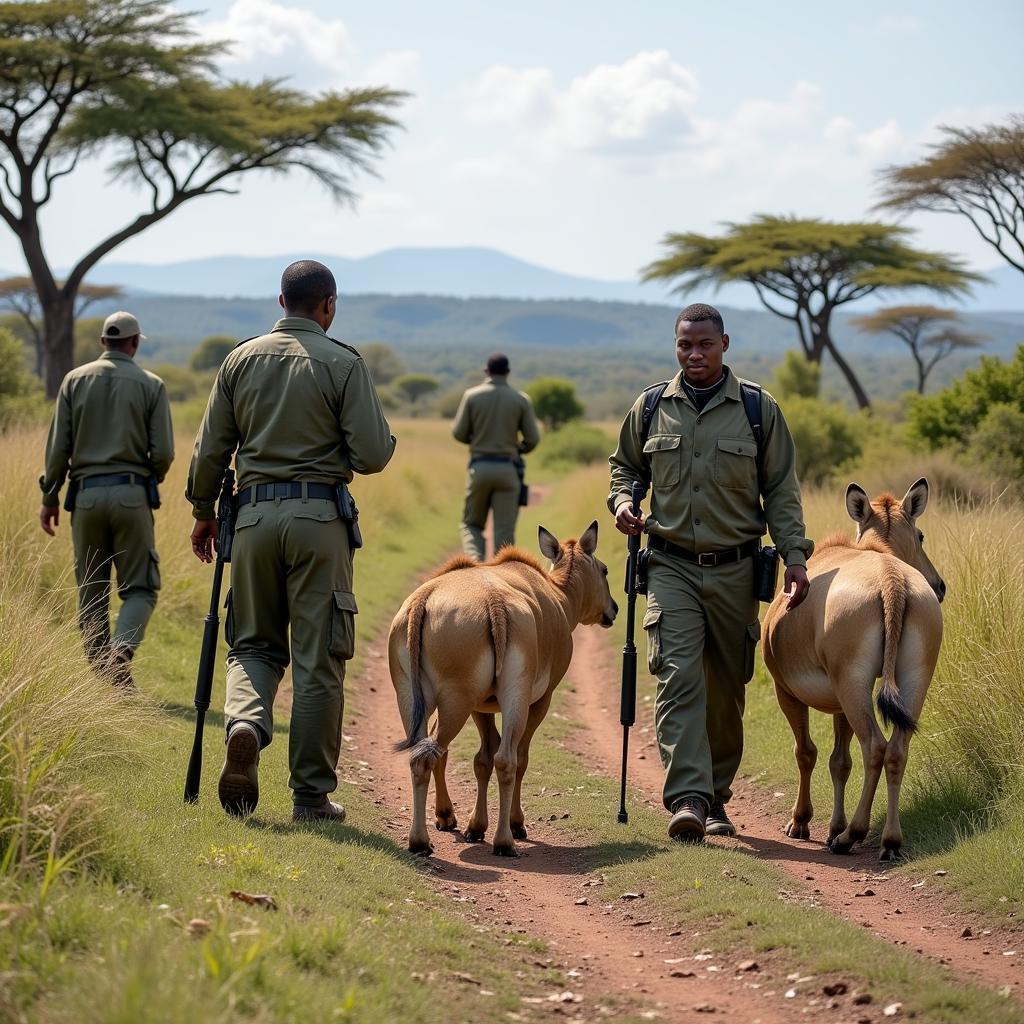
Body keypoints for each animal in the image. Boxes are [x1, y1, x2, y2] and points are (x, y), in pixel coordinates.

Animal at [389, 520, 614, 856]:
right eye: (605, 570)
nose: (612, 609)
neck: (557, 596)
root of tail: (424, 600)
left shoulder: (481, 707)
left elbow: (482, 758)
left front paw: (475, 826)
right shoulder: (540, 701)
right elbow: (518, 758)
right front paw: (514, 824)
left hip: (416, 697)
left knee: (425, 752)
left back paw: (436, 825)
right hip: (489, 699)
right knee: (502, 759)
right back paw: (502, 840)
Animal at [770, 481, 942, 864]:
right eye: (921, 535)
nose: (940, 586)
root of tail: (891, 578)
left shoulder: (785, 691)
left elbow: (806, 752)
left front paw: (801, 823)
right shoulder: (839, 703)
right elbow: (839, 762)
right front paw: (833, 826)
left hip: (852, 685)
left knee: (875, 747)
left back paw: (852, 836)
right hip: (911, 682)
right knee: (896, 749)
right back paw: (889, 841)